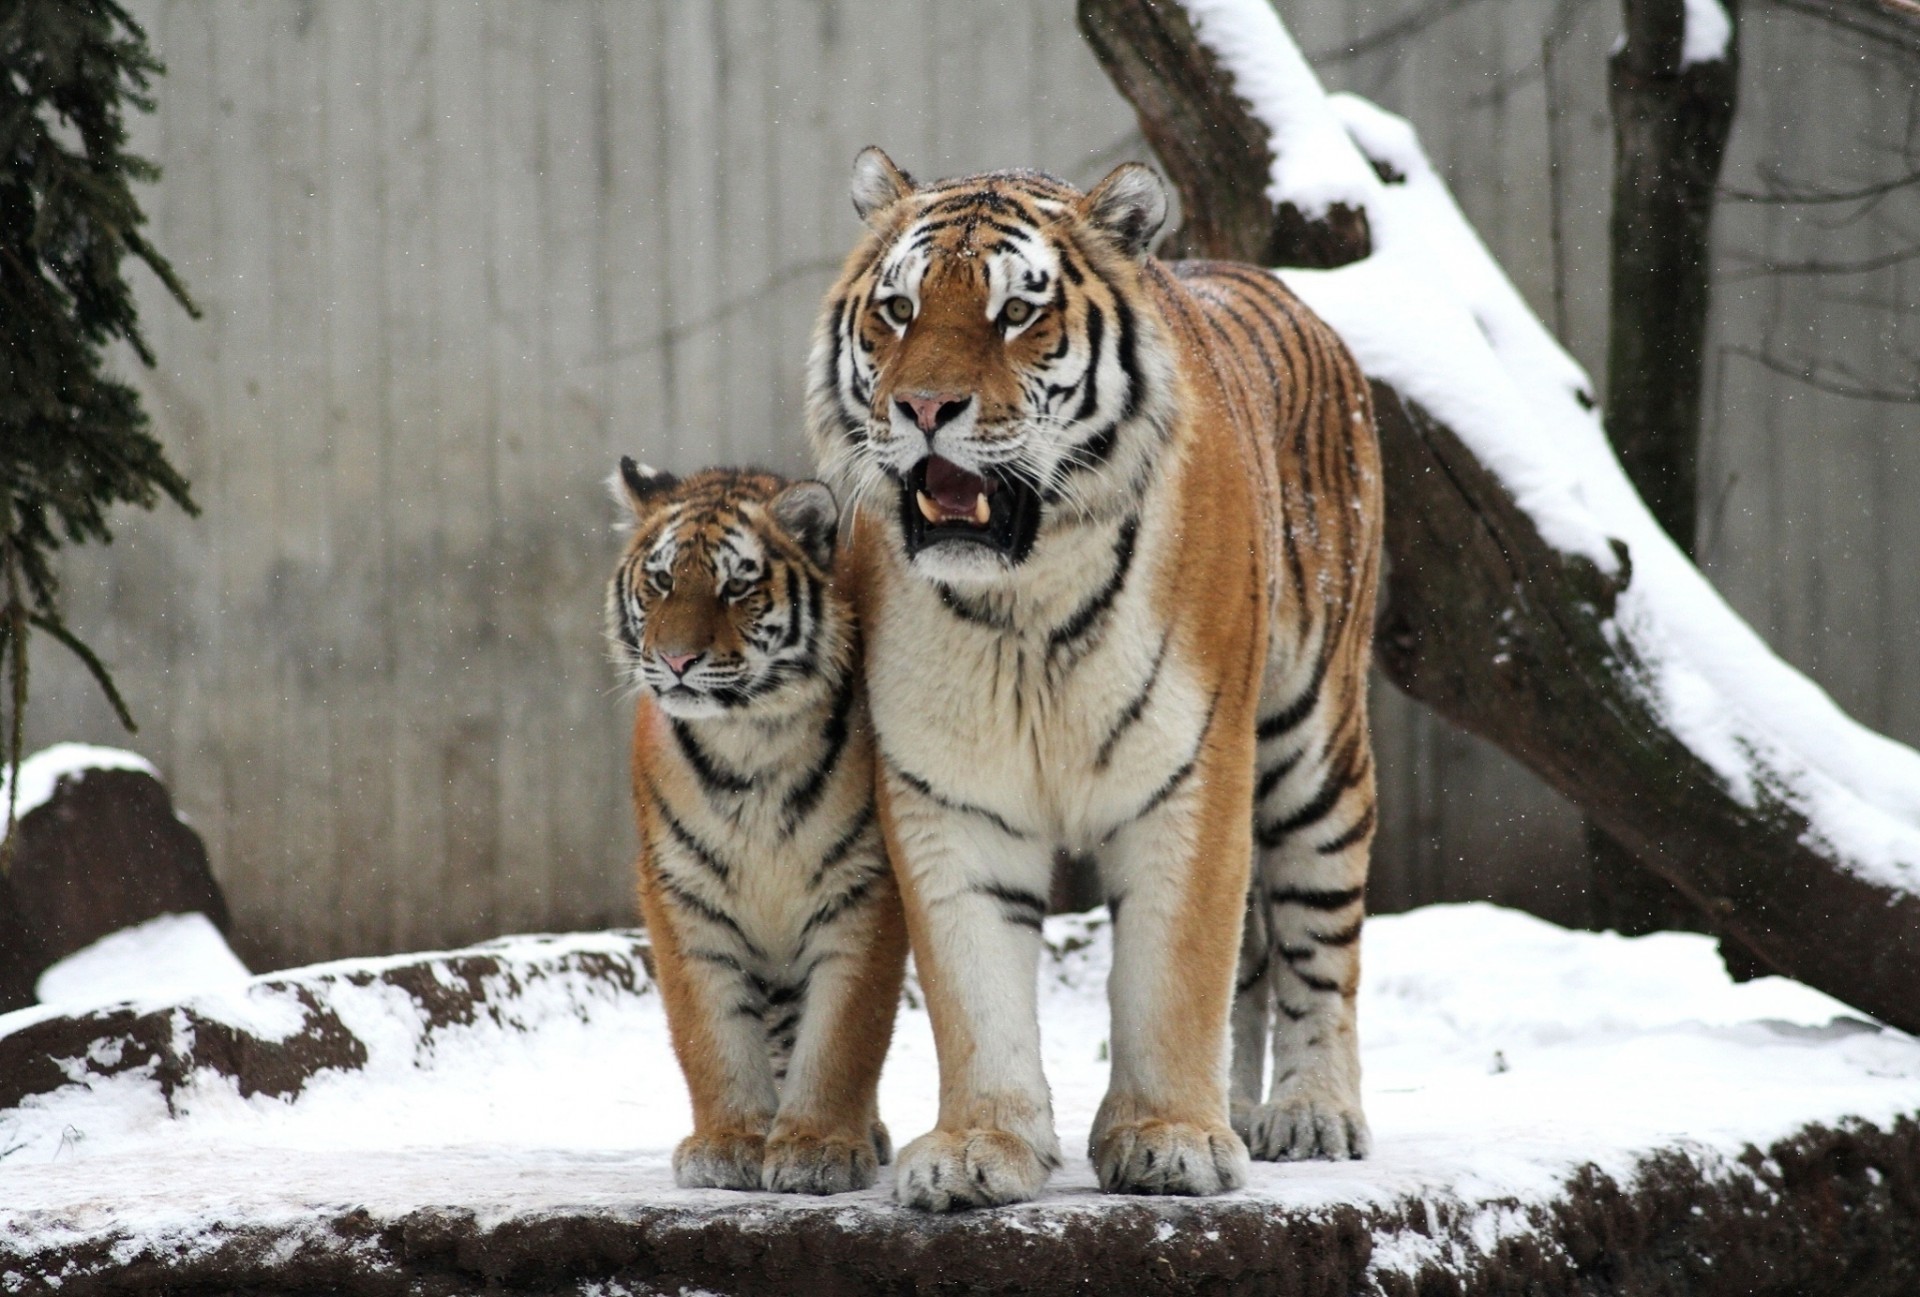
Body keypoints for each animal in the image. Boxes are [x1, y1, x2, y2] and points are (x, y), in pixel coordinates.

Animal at [606, 460, 907, 1194]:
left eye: (736, 585)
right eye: (661, 582)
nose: (676, 660)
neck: (750, 738)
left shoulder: (865, 888)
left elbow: (844, 1035)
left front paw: (818, 1147)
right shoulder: (683, 892)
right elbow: (710, 1033)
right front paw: (730, 1141)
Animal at [806, 150, 1383, 1209]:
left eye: (1015, 314)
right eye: (900, 310)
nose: (924, 409)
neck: (1022, 600)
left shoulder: (1193, 770)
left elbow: (1175, 970)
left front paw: (1171, 1138)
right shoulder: (949, 790)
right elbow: (977, 985)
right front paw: (979, 1146)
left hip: (1313, 740)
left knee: (1319, 936)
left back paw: (1311, 1112)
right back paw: (1242, 1108)